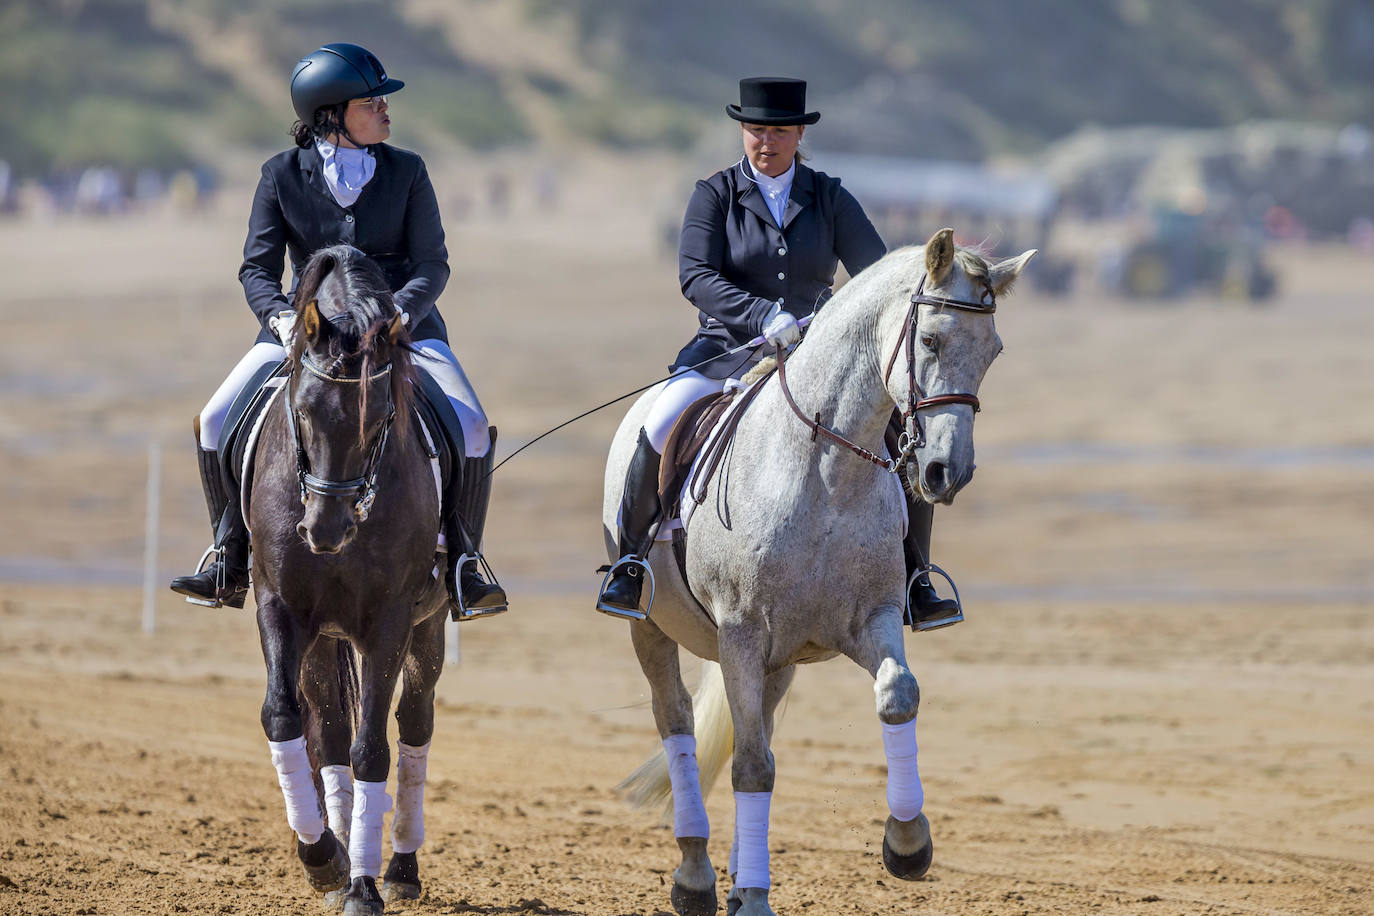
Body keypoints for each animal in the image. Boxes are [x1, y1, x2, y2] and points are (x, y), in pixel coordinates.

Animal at [252, 245, 450, 916]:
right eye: (303, 410)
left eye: (382, 417)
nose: (325, 530)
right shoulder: (280, 606)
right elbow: (285, 719)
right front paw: (323, 860)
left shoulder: (391, 621)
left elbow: (374, 749)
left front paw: (363, 885)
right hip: (322, 638)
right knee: (330, 732)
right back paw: (337, 850)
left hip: (428, 627)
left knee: (414, 725)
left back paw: (400, 867)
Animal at [607, 230, 1033, 916]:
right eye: (930, 340)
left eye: (993, 351)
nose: (947, 472)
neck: (826, 475)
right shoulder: (742, 635)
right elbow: (751, 766)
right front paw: (753, 897)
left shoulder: (868, 621)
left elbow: (897, 696)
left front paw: (908, 844)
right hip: (652, 628)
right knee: (677, 724)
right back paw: (697, 876)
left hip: (778, 662)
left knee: (751, 734)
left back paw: (735, 878)